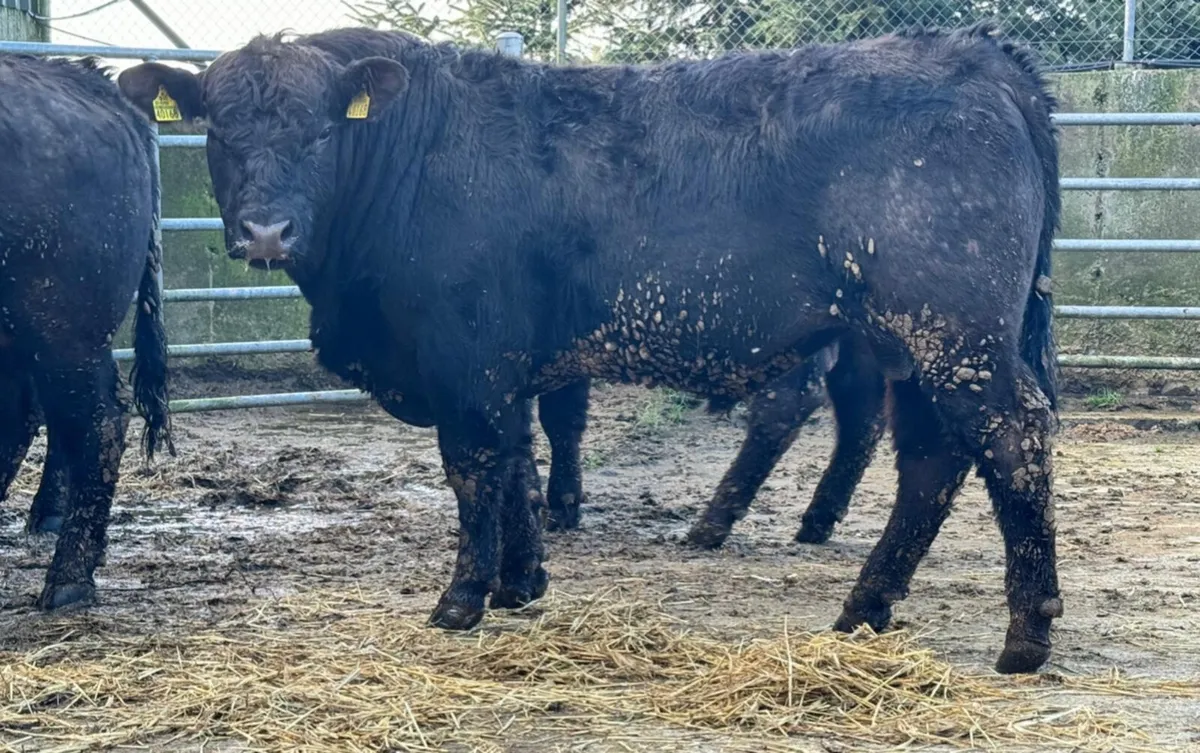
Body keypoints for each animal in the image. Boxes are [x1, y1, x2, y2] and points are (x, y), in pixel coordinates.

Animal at [118, 20, 1062, 673]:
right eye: (220, 132)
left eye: (320, 131)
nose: (265, 230)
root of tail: (979, 55)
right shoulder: (506, 363)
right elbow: (518, 464)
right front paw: (520, 580)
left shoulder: (466, 358)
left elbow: (475, 468)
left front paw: (462, 597)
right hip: (912, 344)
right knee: (930, 458)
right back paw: (865, 605)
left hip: (954, 334)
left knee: (1011, 440)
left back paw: (1026, 631)